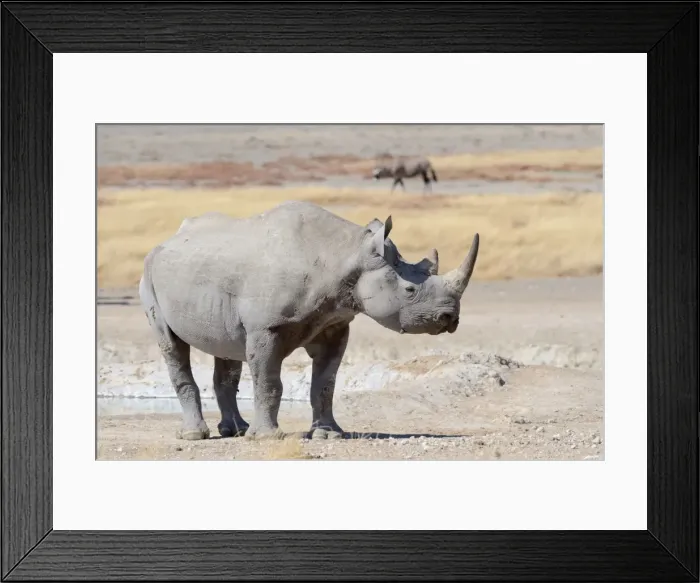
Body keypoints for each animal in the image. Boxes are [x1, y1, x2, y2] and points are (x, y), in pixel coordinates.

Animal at [139, 200, 479, 440]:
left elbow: (325, 383)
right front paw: (266, 438)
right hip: (149, 274)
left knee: (226, 348)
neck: (346, 255)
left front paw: (328, 434)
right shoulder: (265, 328)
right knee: (171, 344)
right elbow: (269, 381)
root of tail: (167, 240)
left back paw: (235, 430)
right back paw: (195, 435)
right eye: (410, 290)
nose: (449, 318)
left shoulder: (334, 324)